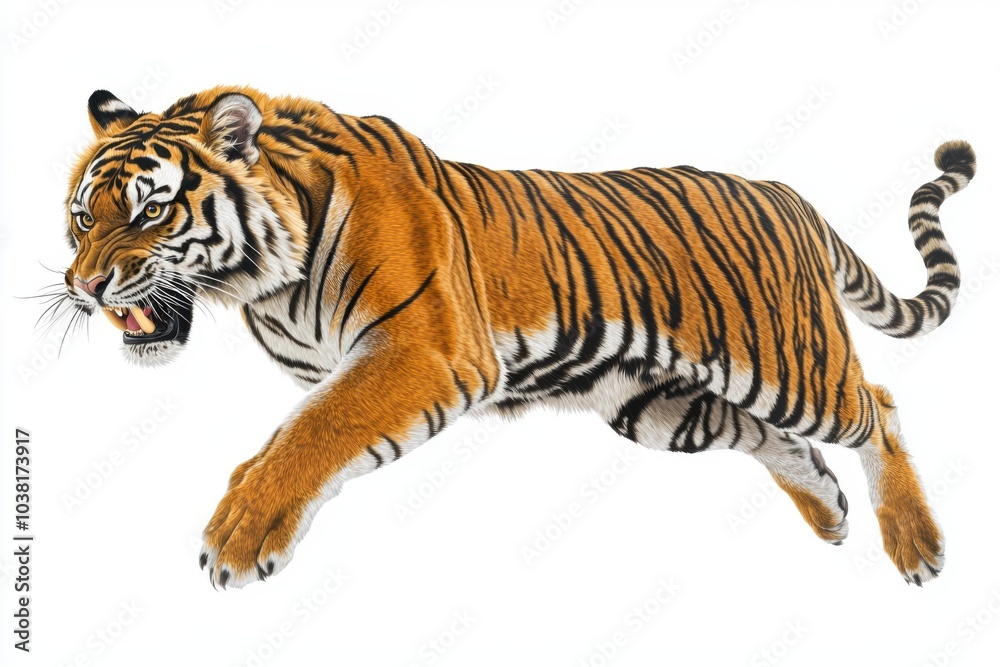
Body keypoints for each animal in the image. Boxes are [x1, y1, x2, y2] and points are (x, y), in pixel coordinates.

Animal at [60, 85, 975, 589]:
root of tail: (792, 196)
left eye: (150, 209)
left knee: (879, 404)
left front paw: (240, 536)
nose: (85, 286)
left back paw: (917, 544)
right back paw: (829, 513)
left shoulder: (421, 352)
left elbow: (316, 431)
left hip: (791, 366)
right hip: (660, 406)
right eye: (82, 218)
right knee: (778, 443)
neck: (265, 285)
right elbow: (299, 432)